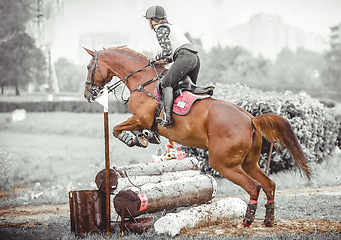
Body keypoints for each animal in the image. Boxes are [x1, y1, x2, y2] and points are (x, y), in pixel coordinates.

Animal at [83, 46, 310, 227]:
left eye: (88, 67)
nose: (88, 94)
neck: (142, 80)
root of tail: (251, 119)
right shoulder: (141, 121)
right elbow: (132, 130)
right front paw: (145, 137)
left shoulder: (141, 118)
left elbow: (116, 129)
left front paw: (133, 139)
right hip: (248, 163)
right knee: (269, 185)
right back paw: (268, 220)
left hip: (224, 164)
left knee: (254, 187)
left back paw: (248, 220)